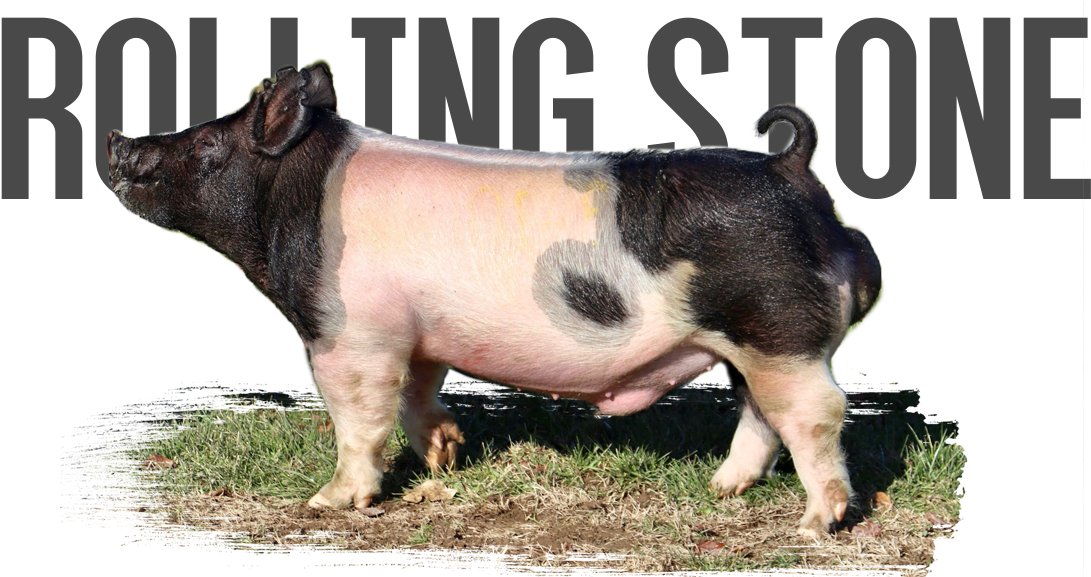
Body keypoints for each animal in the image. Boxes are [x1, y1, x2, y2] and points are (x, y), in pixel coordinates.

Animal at [106, 59, 882, 538]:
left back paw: (814, 525)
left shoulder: (350, 334)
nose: (117, 139)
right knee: (763, 413)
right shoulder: (413, 334)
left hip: (777, 329)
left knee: (816, 413)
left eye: (205, 146)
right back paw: (723, 490)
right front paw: (445, 457)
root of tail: (793, 167)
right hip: (758, 340)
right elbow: (417, 394)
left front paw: (327, 502)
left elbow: (358, 418)